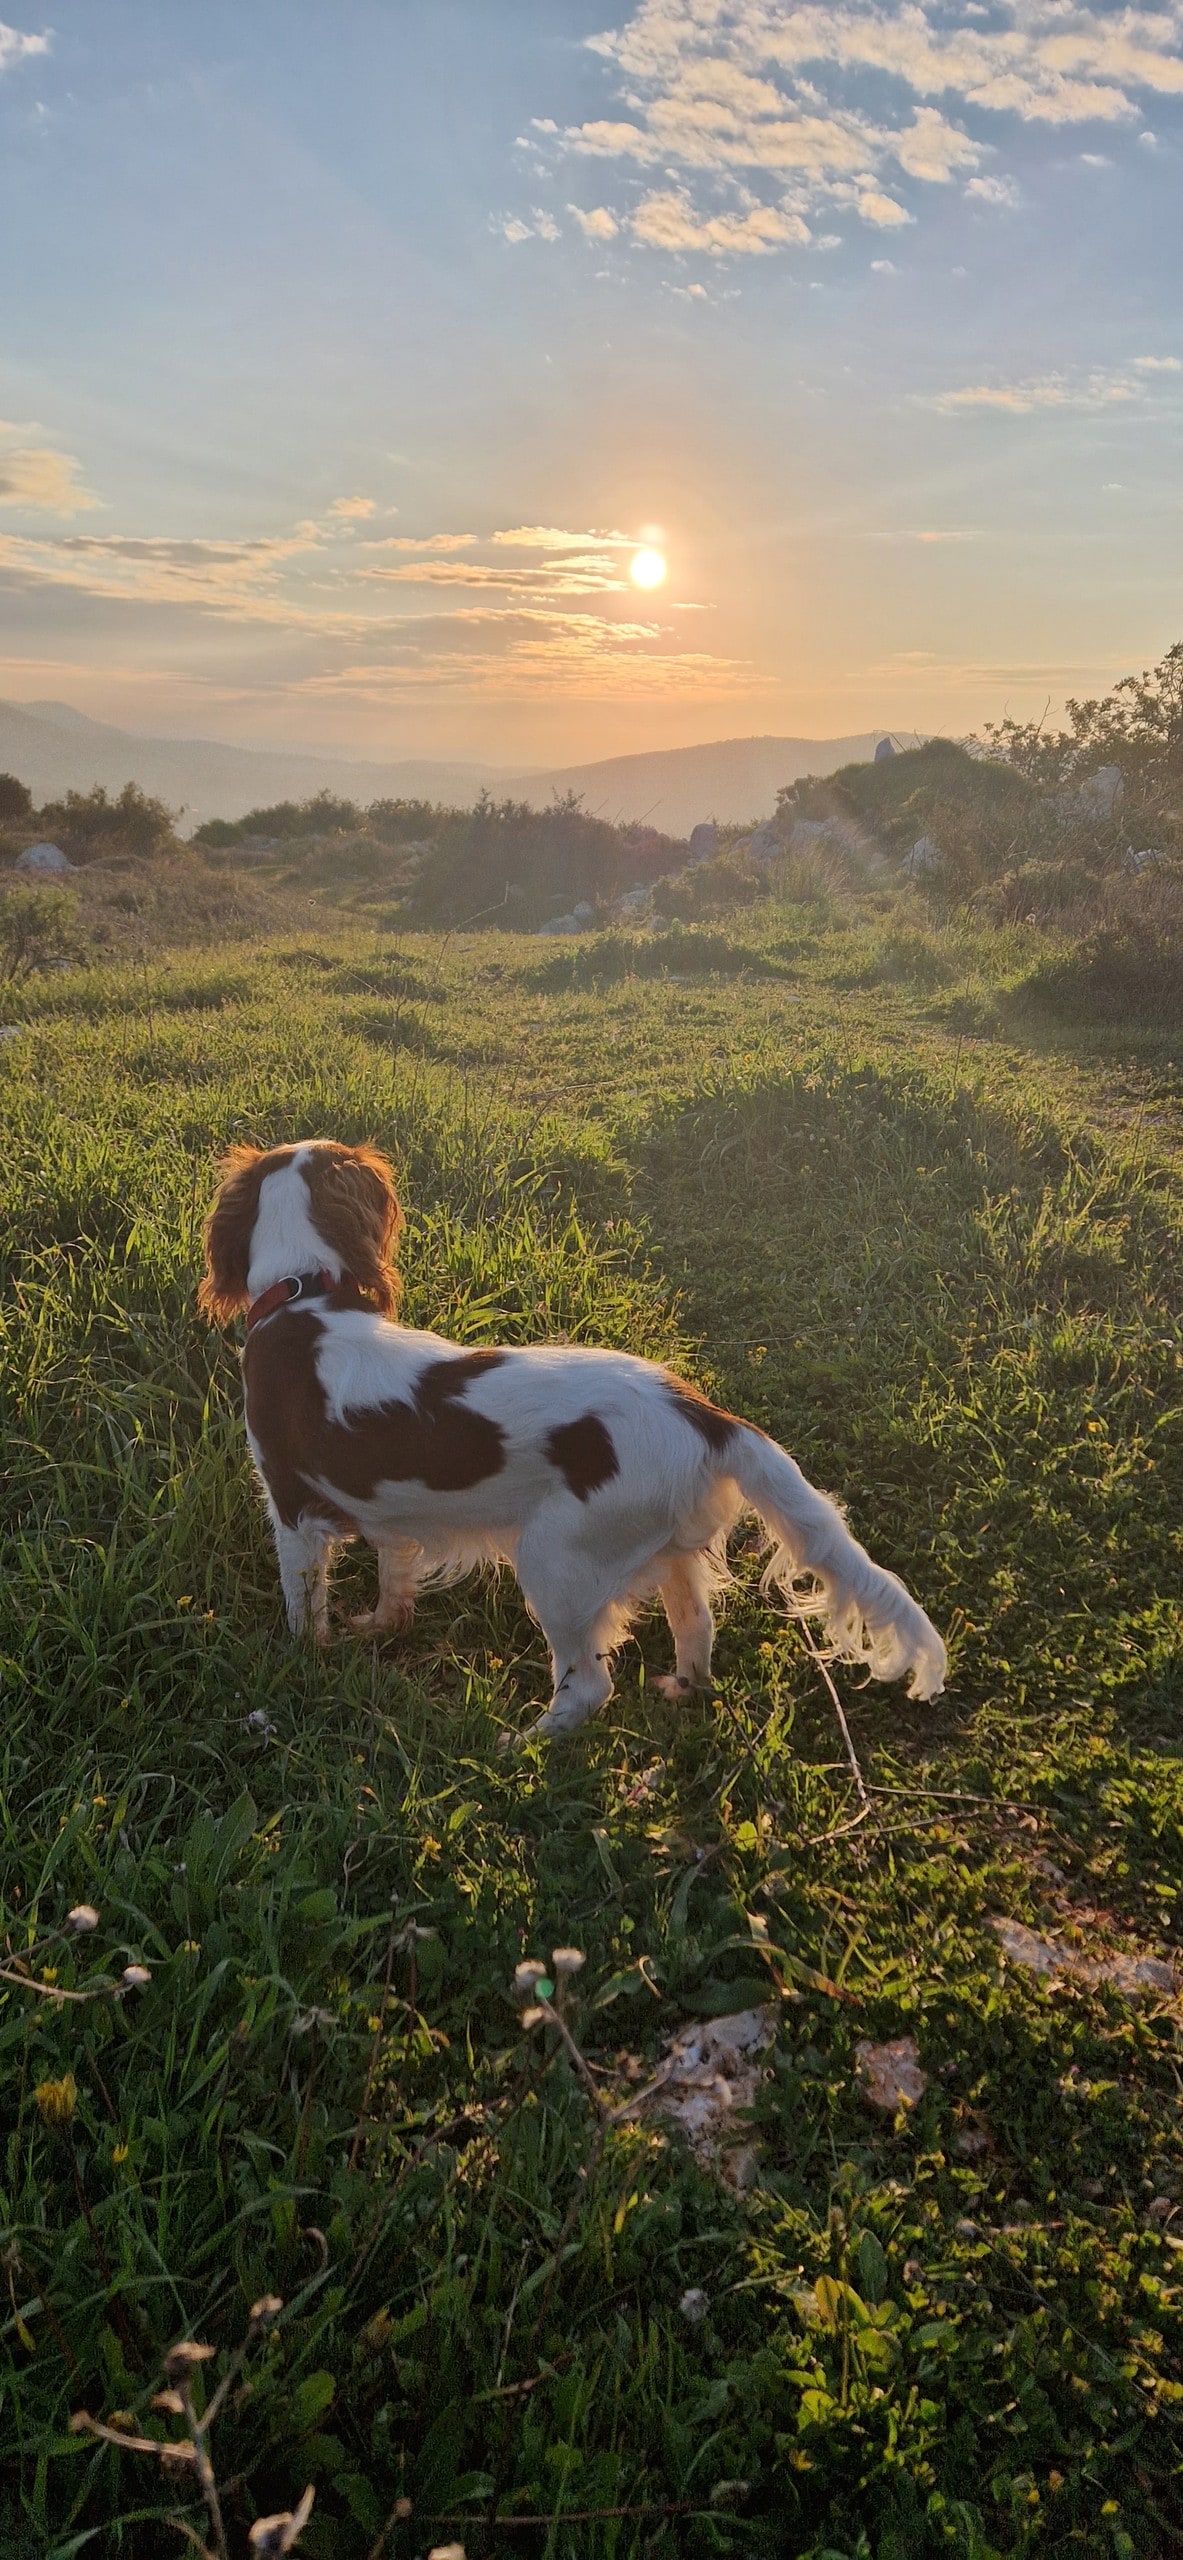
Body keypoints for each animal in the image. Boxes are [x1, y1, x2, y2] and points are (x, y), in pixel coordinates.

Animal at [198, 1141, 947, 1740]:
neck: (304, 1296)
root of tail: (707, 1416)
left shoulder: (292, 1509)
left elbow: (304, 1608)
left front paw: (306, 1663)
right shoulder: (393, 1514)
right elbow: (393, 1578)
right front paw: (379, 1627)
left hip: (554, 1559)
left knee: (589, 1684)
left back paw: (522, 1743)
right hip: (664, 1552)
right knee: (696, 1629)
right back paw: (679, 1691)